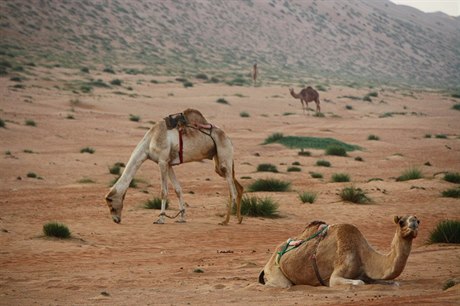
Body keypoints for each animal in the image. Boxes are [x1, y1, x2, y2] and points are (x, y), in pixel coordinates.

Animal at [104, 108, 244, 225]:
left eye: (110, 204)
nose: (116, 220)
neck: (150, 142)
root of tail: (228, 138)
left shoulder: (162, 161)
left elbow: (163, 191)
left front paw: (160, 219)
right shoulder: (168, 163)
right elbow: (178, 189)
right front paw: (181, 217)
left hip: (224, 155)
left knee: (232, 190)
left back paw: (226, 221)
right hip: (219, 162)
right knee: (238, 186)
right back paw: (239, 218)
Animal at [258, 215, 420, 286]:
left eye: (419, 220)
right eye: (401, 222)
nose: (413, 224)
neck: (363, 255)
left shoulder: (368, 274)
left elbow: (392, 283)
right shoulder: (337, 274)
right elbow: (358, 283)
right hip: (274, 270)